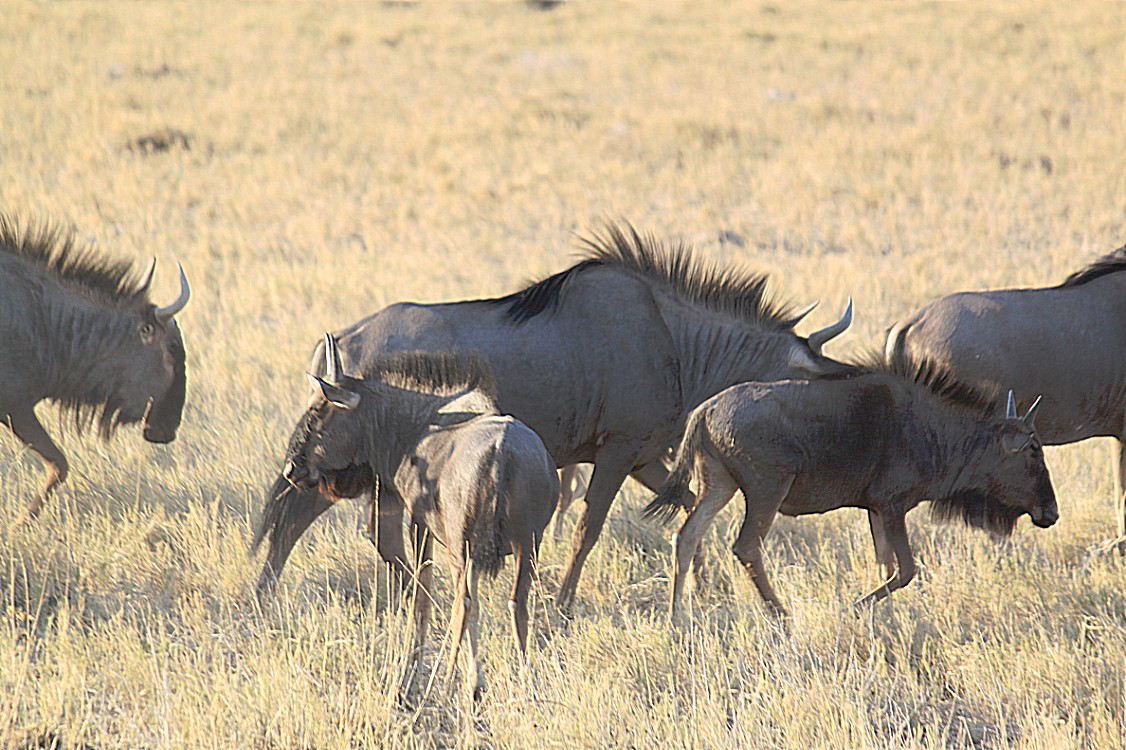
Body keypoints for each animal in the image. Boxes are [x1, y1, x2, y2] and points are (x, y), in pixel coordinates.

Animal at [272, 335, 553, 698]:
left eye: (320, 412)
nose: (292, 469)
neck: (419, 425)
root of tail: (500, 453)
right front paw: (476, 681)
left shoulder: (422, 525)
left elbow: (422, 595)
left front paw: (415, 668)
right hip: (526, 546)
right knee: (515, 603)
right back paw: (525, 682)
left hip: (464, 547)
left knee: (463, 602)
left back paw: (446, 683)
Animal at [648, 355, 1058, 612]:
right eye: (1033, 450)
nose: (1051, 512)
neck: (934, 432)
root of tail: (705, 410)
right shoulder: (892, 506)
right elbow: (906, 571)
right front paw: (854, 607)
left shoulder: (875, 509)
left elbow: (886, 568)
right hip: (767, 488)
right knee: (746, 547)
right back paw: (782, 615)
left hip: (719, 484)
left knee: (687, 535)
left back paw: (677, 616)